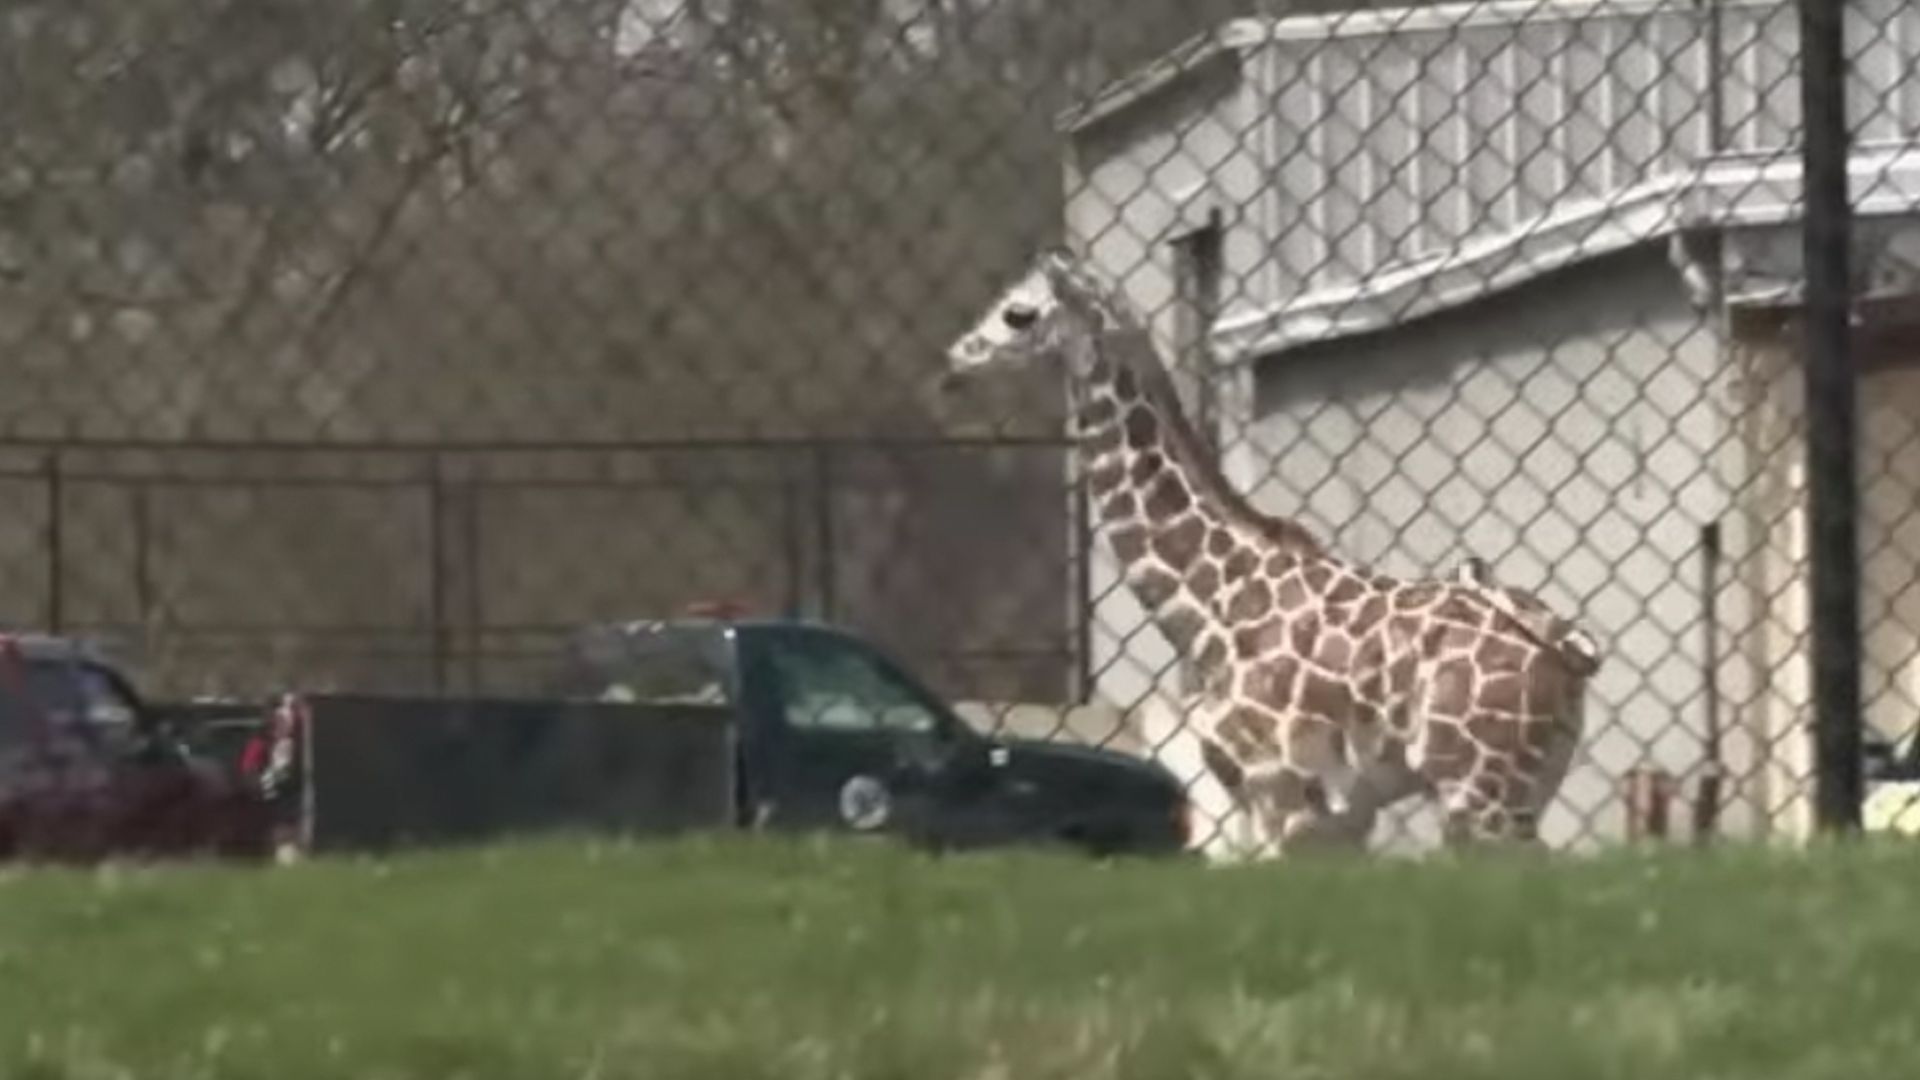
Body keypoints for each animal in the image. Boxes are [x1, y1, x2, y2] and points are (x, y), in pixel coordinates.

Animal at [939, 246, 1603, 858]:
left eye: (1017, 313)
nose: (955, 358)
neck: (1210, 607)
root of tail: (1568, 653)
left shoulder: (1277, 792)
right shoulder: (1330, 816)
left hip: (1481, 790)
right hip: (1526, 785)